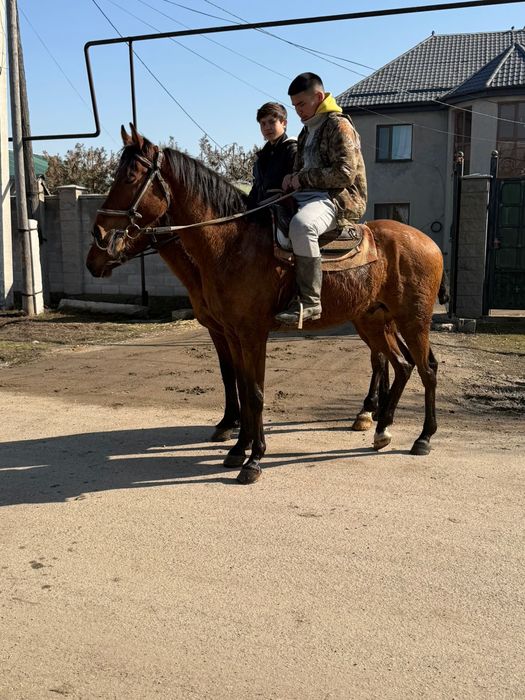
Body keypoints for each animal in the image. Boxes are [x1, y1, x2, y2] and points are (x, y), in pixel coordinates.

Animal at [87, 124, 444, 484]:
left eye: (131, 176)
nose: (98, 237)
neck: (232, 243)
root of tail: (428, 242)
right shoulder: (230, 333)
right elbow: (242, 386)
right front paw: (237, 446)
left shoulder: (252, 334)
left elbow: (255, 392)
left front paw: (254, 458)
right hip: (373, 321)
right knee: (401, 365)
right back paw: (382, 429)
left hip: (412, 321)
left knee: (425, 369)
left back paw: (423, 437)